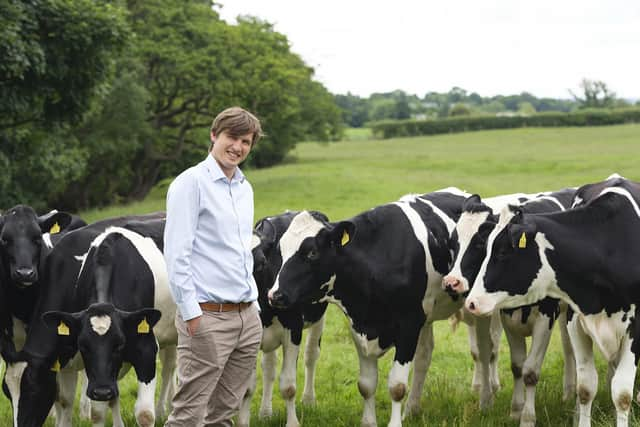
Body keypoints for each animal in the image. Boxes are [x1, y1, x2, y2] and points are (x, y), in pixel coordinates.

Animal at [1, 213, 168, 427]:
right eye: (7, 392)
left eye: (34, 388)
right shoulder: (70, 356)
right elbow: (73, 402)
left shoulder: (146, 346)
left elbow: (145, 414)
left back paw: (165, 410)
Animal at [240, 213, 330, 427]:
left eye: (261, 263)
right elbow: (247, 388)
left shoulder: (293, 331)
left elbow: (288, 386)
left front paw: (293, 422)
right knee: (269, 368)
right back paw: (265, 413)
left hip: (319, 318)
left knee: (311, 355)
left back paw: (308, 400)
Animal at [268, 190, 472, 427]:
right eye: (281, 251)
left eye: (312, 253)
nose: (275, 295)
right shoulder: (359, 325)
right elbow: (366, 385)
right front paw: (369, 421)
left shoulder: (409, 324)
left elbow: (397, 386)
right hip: (427, 318)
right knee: (424, 356)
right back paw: (412, 409)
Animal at [444, 191, 576, 427]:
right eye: (454, 242)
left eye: (480, 243)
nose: (451, 282)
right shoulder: (507, 319)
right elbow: (516, 366)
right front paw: (515, 409)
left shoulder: (545, 319)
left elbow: (531, 371)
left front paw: (528, 417)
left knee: (569, 348)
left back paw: (569, 393)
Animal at [464, 176, 640, 426]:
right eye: (486, 248)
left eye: (503, 252)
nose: (471, 302)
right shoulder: (576, 323)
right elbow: (586, 388)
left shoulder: (635, 330)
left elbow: (622, 394)